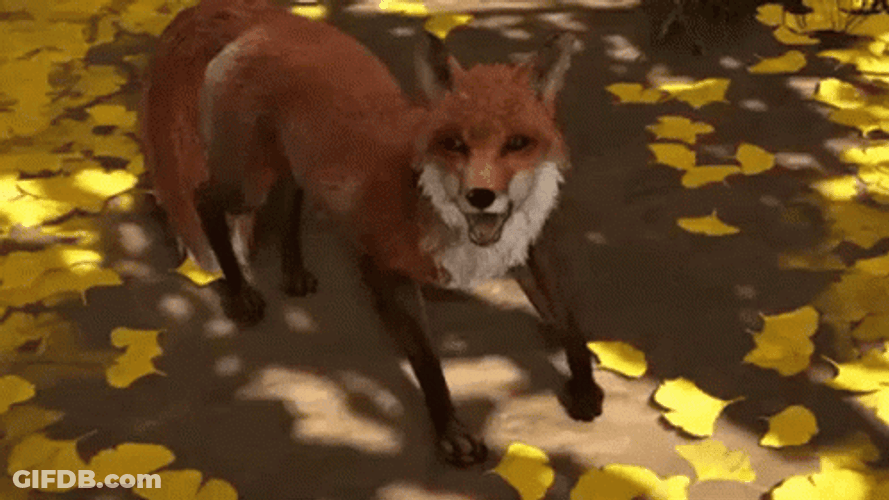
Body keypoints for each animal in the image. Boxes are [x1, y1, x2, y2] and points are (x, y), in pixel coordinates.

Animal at [141, 0, 601, 466]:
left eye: (517, 143)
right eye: (453, 144)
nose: (481, 197)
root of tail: (273, 20)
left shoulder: (531, 248)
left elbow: (568, 321)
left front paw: (585, 386)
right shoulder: (385, 266)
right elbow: (427, 362)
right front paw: (451, 432)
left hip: (291, 164)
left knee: (290, 198)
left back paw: (293, 271)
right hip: (248, 183)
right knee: (203, 199)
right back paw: (238, 292)